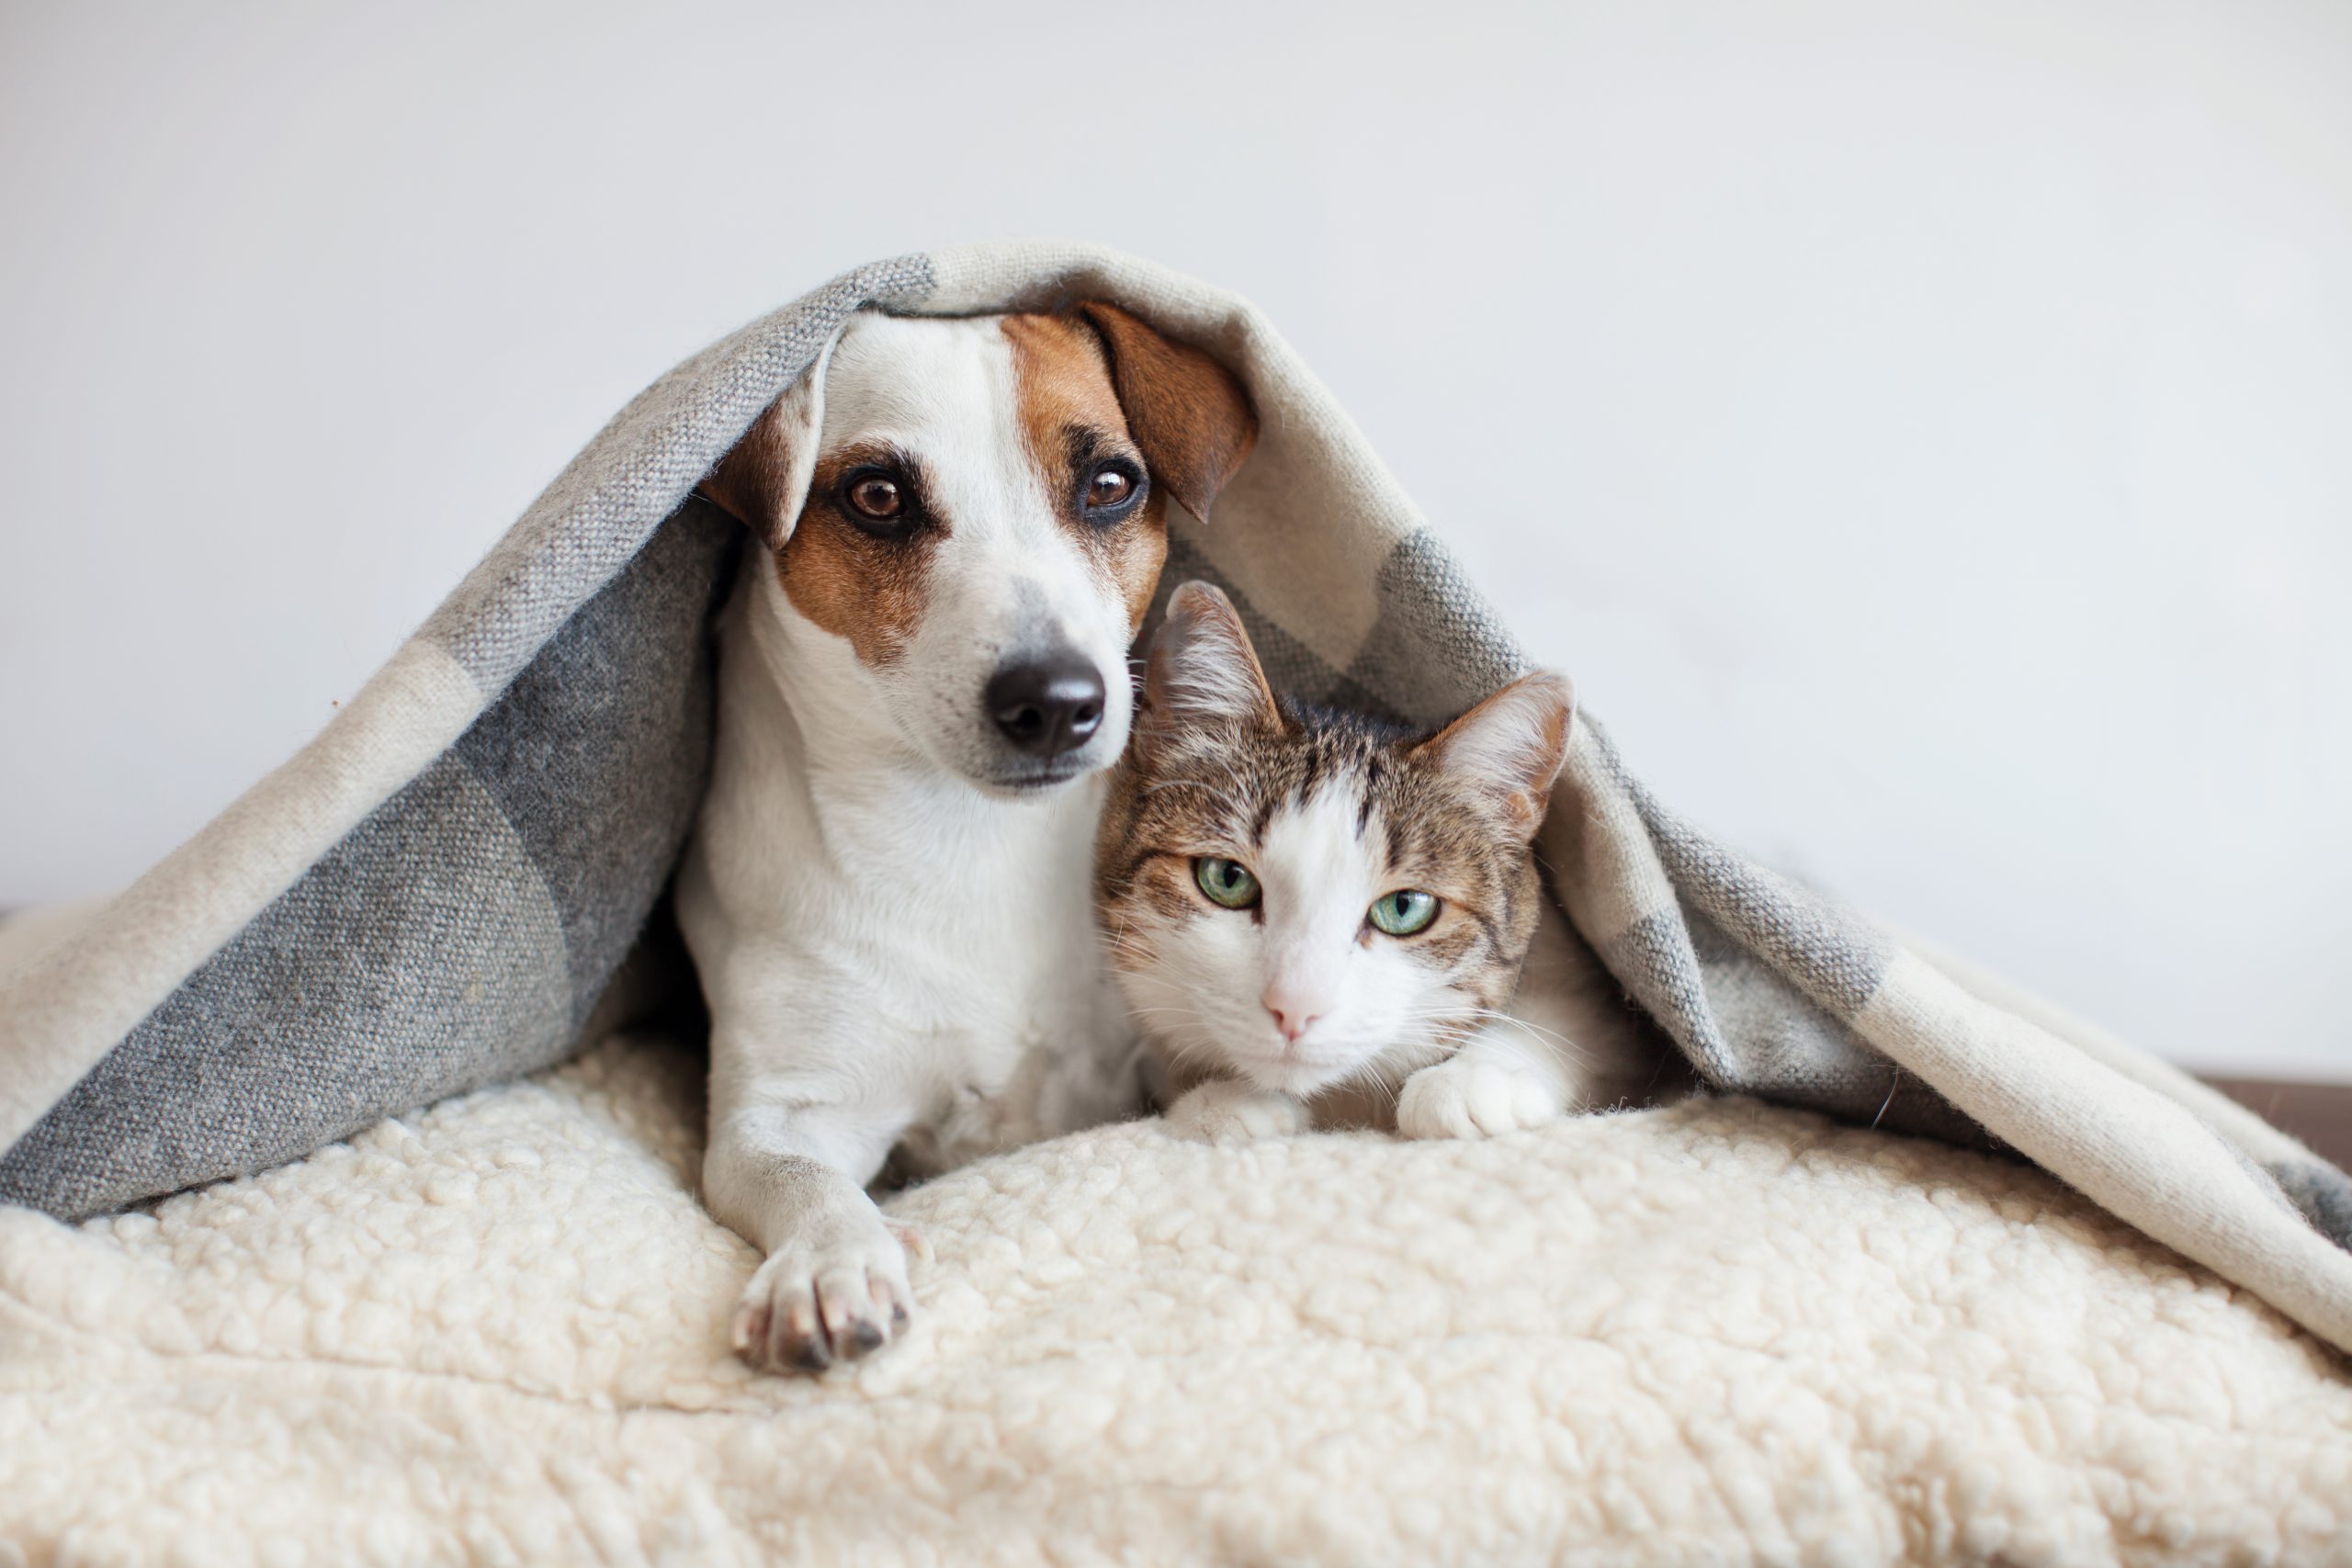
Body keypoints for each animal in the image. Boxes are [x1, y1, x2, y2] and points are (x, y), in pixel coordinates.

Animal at [682, 297, 1261, 1372]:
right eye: (876, 496)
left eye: (1110, 485)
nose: (1057, 701)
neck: (967, 839)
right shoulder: (776, 1113)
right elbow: (801, 1180)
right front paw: (829, 1262)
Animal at [1091, 576, 1665, 1142]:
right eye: (1227, 879)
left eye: (1405, 908)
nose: (1295, 1008)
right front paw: (1223, 1101)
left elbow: (1573, 1021)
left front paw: (1473, 1079)